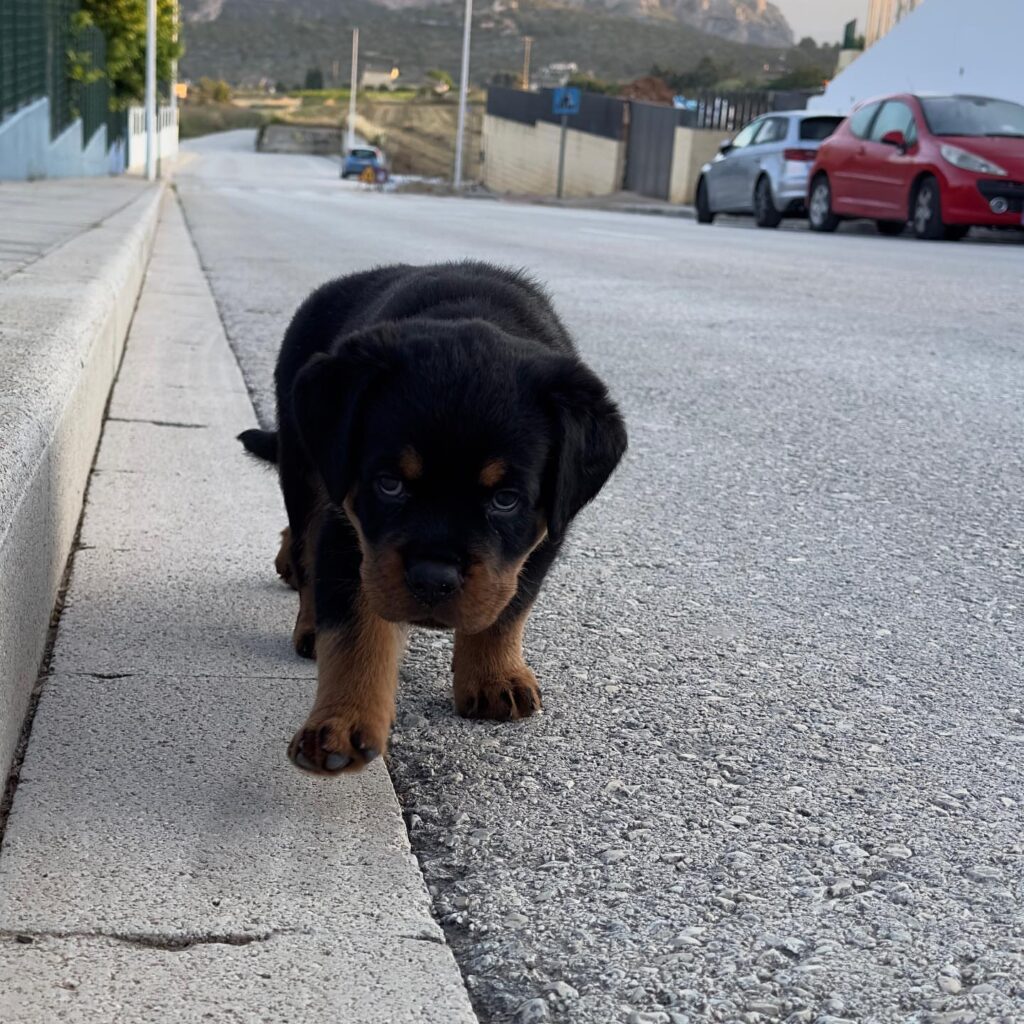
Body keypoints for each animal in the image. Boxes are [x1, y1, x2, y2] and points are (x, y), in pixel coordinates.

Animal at [239, 262, 622, 774]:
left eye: (505, 500)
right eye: (390, 484)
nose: (433, 580)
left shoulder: (542, 536)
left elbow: (509, 608)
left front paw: (494, 677)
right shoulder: (353, 529)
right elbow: (356, 634)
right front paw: (340, 726)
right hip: (303, 466)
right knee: (306, 543)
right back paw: (309, 622)